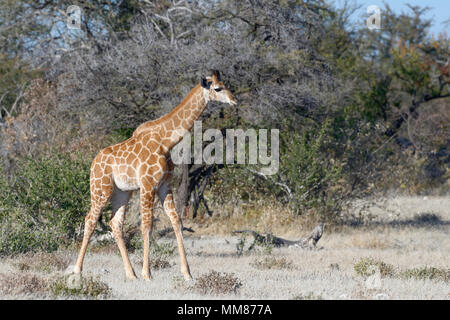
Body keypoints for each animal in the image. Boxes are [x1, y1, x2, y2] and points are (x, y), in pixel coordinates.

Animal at [73, 70, 236, 280]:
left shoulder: (164, 186)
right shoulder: (148, 184)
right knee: (90, 219)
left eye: (225, 85)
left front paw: (187, 273)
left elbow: (176, 221)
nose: (234, 100)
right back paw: (77, 270)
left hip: (122, 192)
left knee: (115, 223)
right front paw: (147, 273)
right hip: (101, 188)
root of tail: (93, 162)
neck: (166, 142)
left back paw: (130, 274)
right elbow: (147, 225)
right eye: (218, 88)